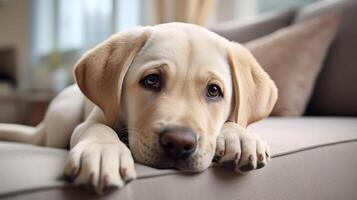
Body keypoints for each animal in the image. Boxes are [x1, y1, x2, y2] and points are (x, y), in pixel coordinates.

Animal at [0, 22, 276, 193]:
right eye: (151, 80)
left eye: (214, 91)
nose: (179, 143)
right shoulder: (93, 119)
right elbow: (98, 129)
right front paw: (103, 152)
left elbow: (235, 122)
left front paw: (239, 137)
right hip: (63, 117)